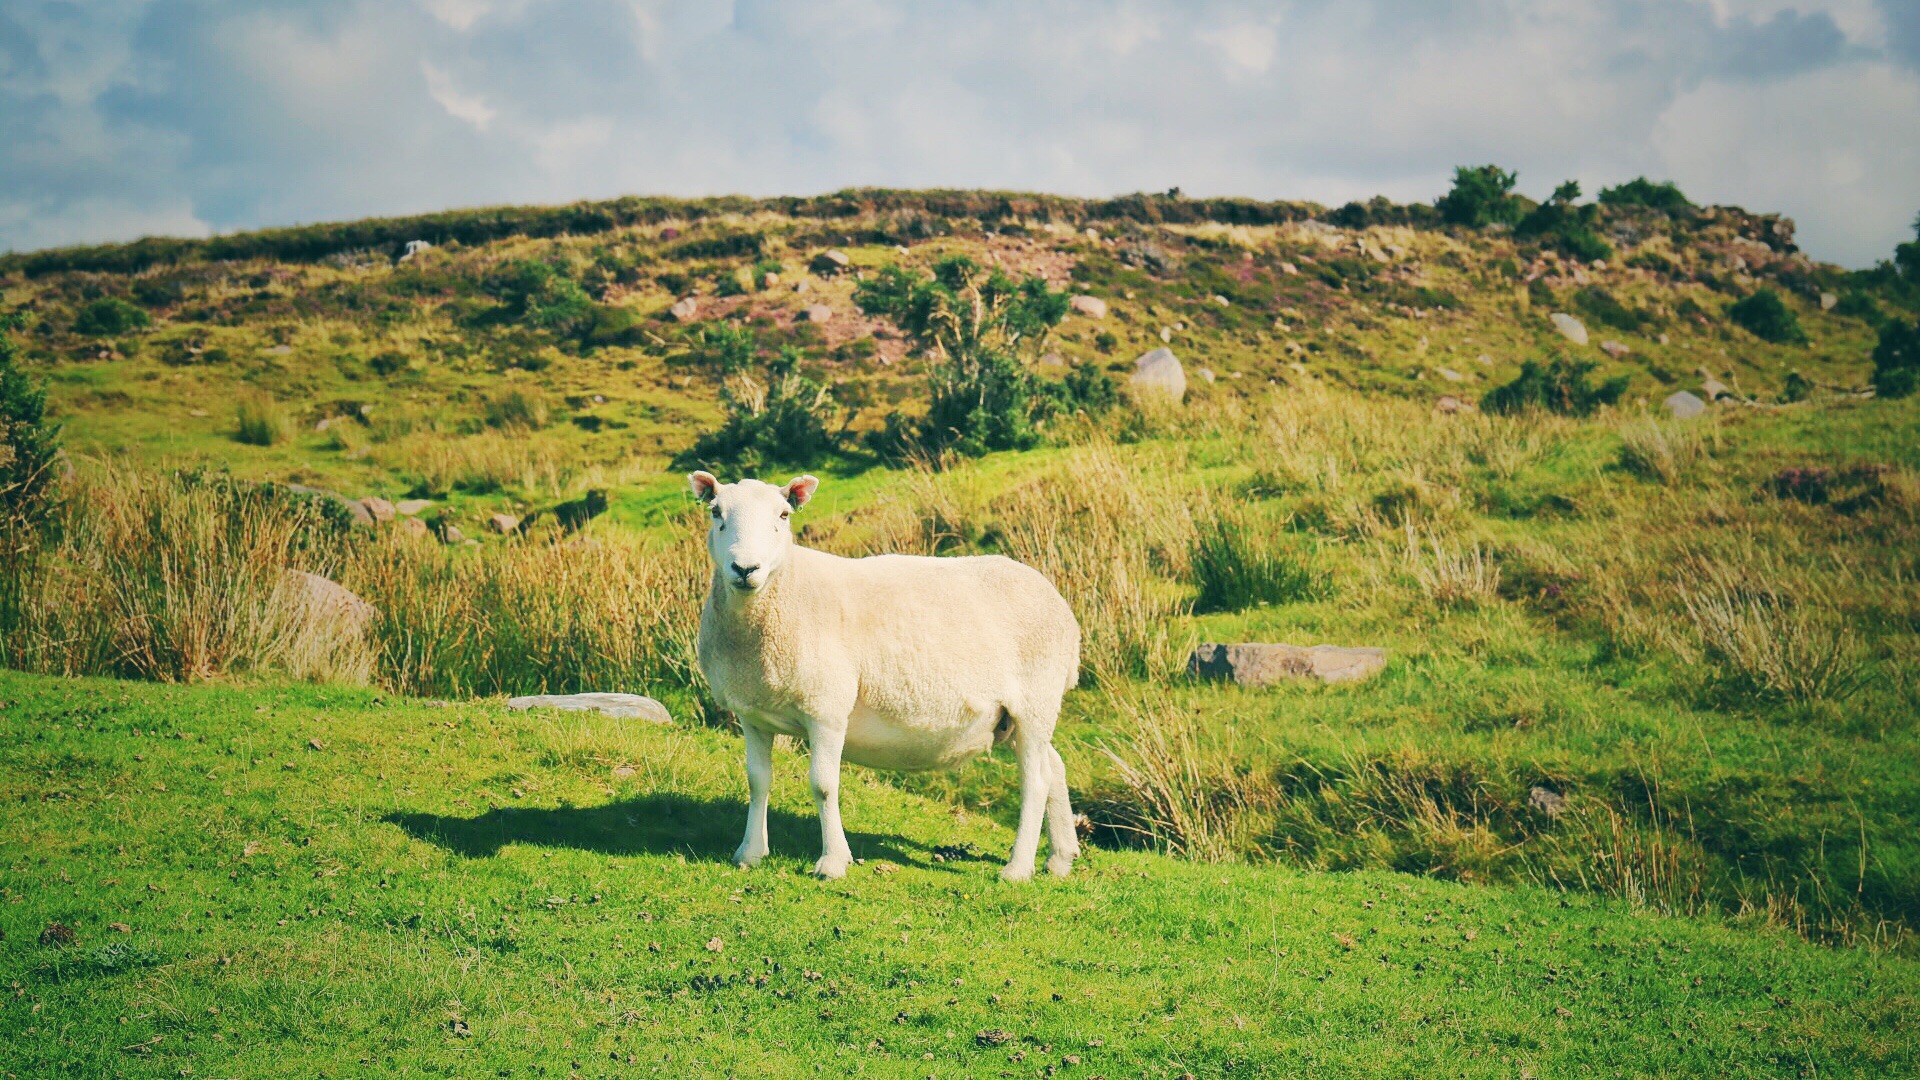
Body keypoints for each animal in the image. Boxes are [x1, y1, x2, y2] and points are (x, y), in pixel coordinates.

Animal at [691, 466, 1082, 880]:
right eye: (716, 512)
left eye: (783, 515)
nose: (745, 568)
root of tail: (1059, 603)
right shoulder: (753, 714)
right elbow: (757, 781)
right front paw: (749, 852)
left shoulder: (827, 708)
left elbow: (823, 785)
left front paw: (833, 862)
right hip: (1019, 714)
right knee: (1054, 767)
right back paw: (1061, 857)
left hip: (1036, 699)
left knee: (1035, 781)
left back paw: (1018, 867)